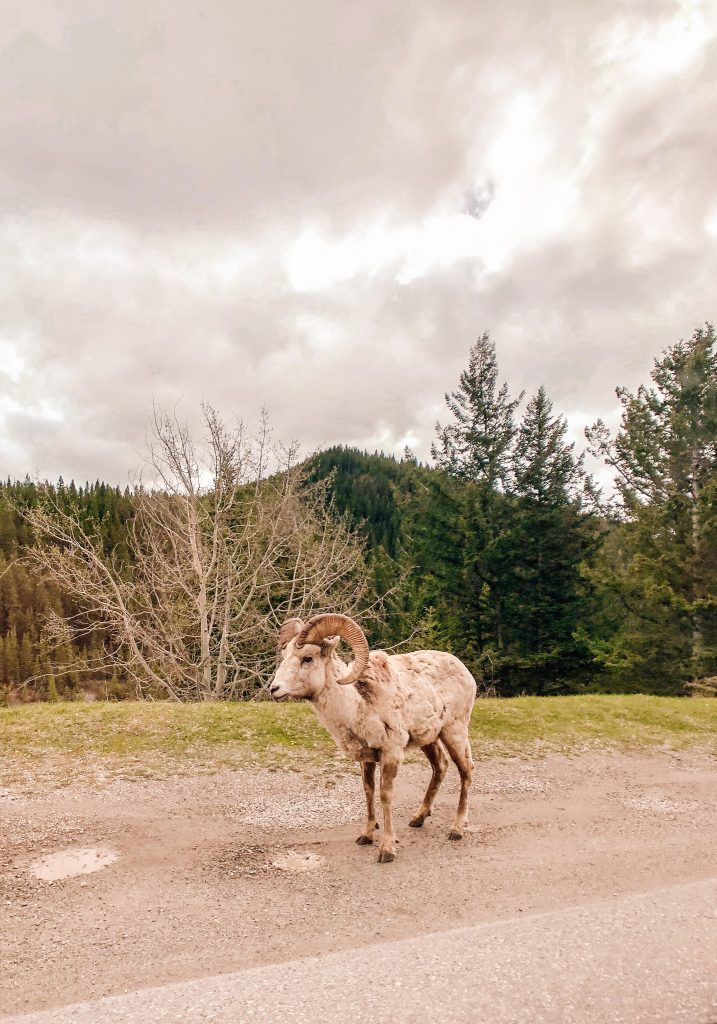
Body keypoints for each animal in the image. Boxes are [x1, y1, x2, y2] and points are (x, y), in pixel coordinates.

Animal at [268, 614, 475, 864]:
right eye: (284, 656)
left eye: (307, 658)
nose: (274, 689)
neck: (358, 706)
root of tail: (463, 670)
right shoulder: (366, 757)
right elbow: (368, 791)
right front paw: (365, 836)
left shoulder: (391, 754)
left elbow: (385, 795)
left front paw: (387, 849)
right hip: (430, 738)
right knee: (441, 766)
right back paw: (418, 818)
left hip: (454, 731)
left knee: (465, 770)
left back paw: (457, 829)